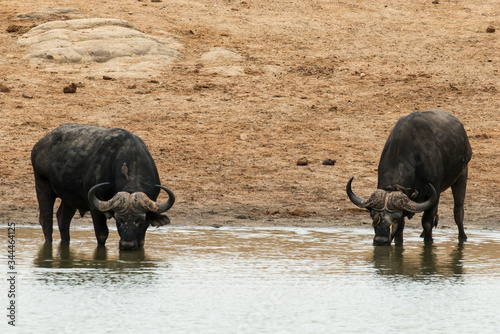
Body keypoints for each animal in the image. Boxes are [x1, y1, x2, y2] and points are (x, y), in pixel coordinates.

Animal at [30, 124, 176, 249]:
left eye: (140, 220)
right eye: (119, 220)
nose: (127, 245)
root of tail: (40, 145)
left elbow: (141, 240)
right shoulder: (95, 207)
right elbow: (102, 234)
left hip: (70, 198)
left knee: (62, 219)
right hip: (42, 185)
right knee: (46, 221)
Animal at [348, 109, 472, 245]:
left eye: (395, 219)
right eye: (373, 216)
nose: (380, 240)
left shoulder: (435, 194)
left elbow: (427, 222)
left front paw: (429, 241)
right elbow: (400, 231)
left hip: (462, 173)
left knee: (458, 211)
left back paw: (463, 237)